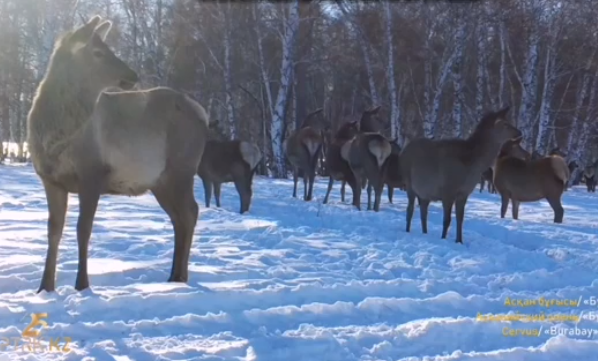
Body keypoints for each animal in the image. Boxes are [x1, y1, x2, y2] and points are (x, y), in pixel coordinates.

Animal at [26, 16, 211, 292]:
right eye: (97, 52)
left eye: (107, 47)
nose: (132, 75)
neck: (55, 138)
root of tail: (203, 114)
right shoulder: (50, 180)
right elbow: (53, 231)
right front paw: (44, 287)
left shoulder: (92, 174)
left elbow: (83, 230)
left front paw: (82, 285)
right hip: (160, 181)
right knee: (179, 217)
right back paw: (173, 276)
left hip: (182, 169)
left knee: (190, 212)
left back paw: (180, 277)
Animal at [400, 105, 524, 243]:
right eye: (505, 124)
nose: (519, 132)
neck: (471, 166)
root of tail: (404, 150)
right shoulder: (448, 190)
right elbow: (447, 220)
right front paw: (443, 238)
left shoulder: (464, 193)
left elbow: (460, 219)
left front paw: (459, 241)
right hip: (409, 182)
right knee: (410, 209)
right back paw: (408, 230)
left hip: (425, 192)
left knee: (423, 212)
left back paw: (425, 233)